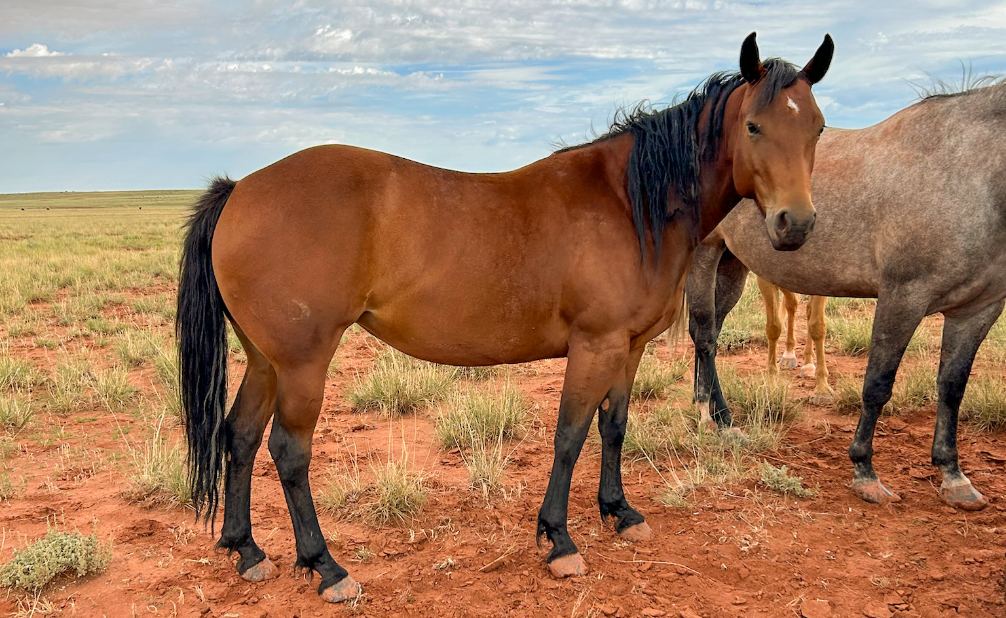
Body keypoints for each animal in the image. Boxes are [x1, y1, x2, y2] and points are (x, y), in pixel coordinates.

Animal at [176, 32, 833, 602]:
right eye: (753, 125)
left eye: (818, 128)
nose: (795, 224)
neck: (628, 203)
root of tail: (240, 190)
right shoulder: (595, 345)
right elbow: (569, 436)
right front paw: (559, 540)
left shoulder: (629, 347)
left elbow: (613, 427)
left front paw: (619, 512)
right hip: (303, 362)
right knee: (289, 451)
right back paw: (327, 567)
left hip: (266, 359)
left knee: (238, 435)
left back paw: (246, 551)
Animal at [686, 78, 1006, 512]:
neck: (966, 173)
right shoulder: (903, 297)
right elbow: (877, 385)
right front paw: (865, 471)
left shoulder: (978, 309)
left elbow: (953, 387)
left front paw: (952, 474)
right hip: (705, 255)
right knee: (704, 335)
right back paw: (713, 419)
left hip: (733, 262)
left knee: (713, 335)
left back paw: (716, 414)